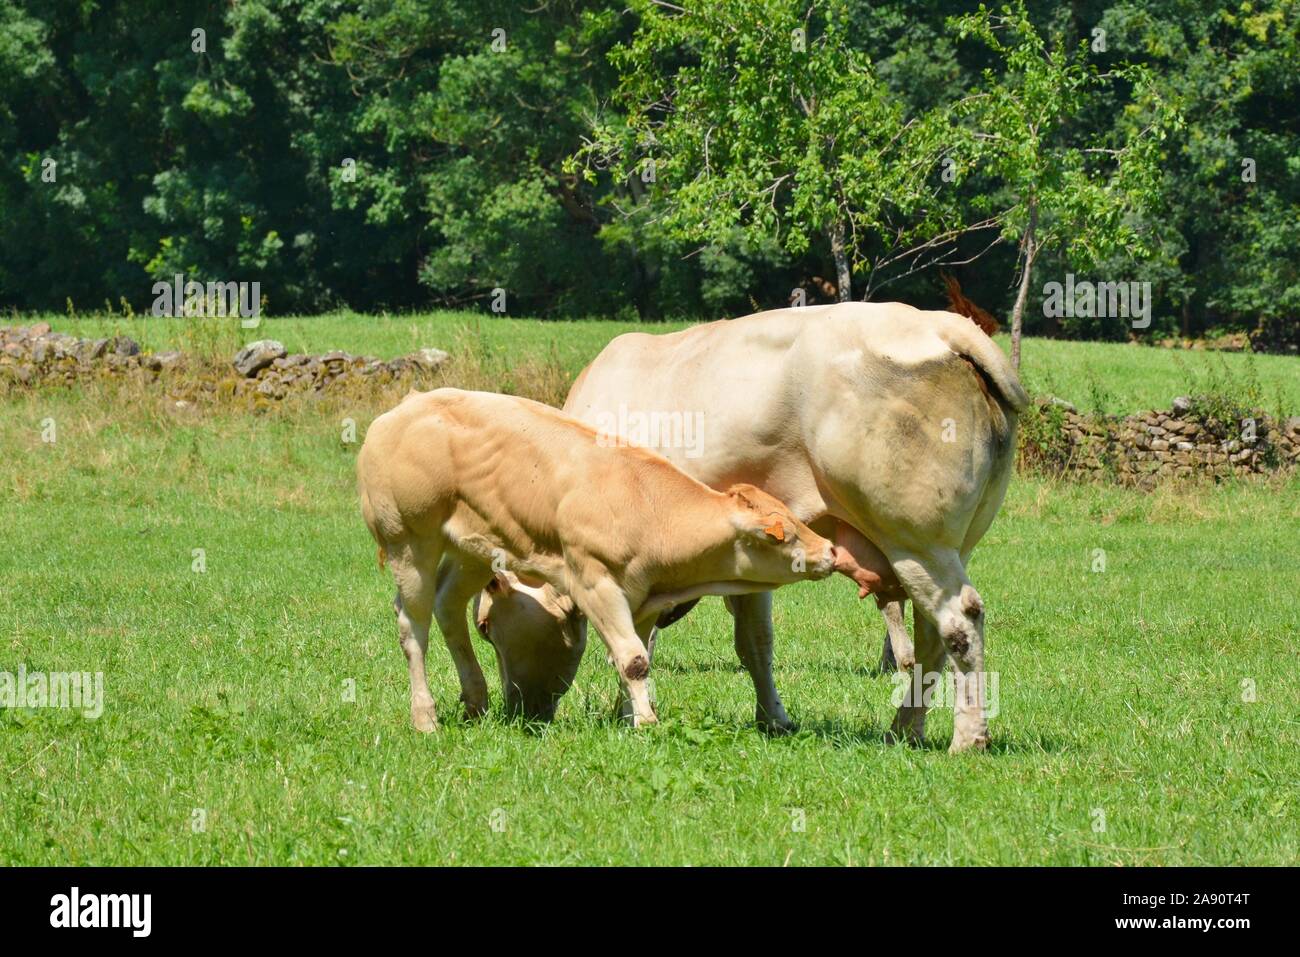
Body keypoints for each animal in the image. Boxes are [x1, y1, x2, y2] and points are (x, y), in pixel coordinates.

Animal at [475, 302, 1024, 748]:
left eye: (485, 628)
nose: (515, 713)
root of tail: (940, 325)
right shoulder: (751, 555)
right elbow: (754, 643)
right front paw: (772, 718)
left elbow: (634, 639)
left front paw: (626, 713)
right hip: (947, 547)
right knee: (932, 638)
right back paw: (904, 729)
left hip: (915, 540)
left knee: (960, 623)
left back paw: (967, 738)